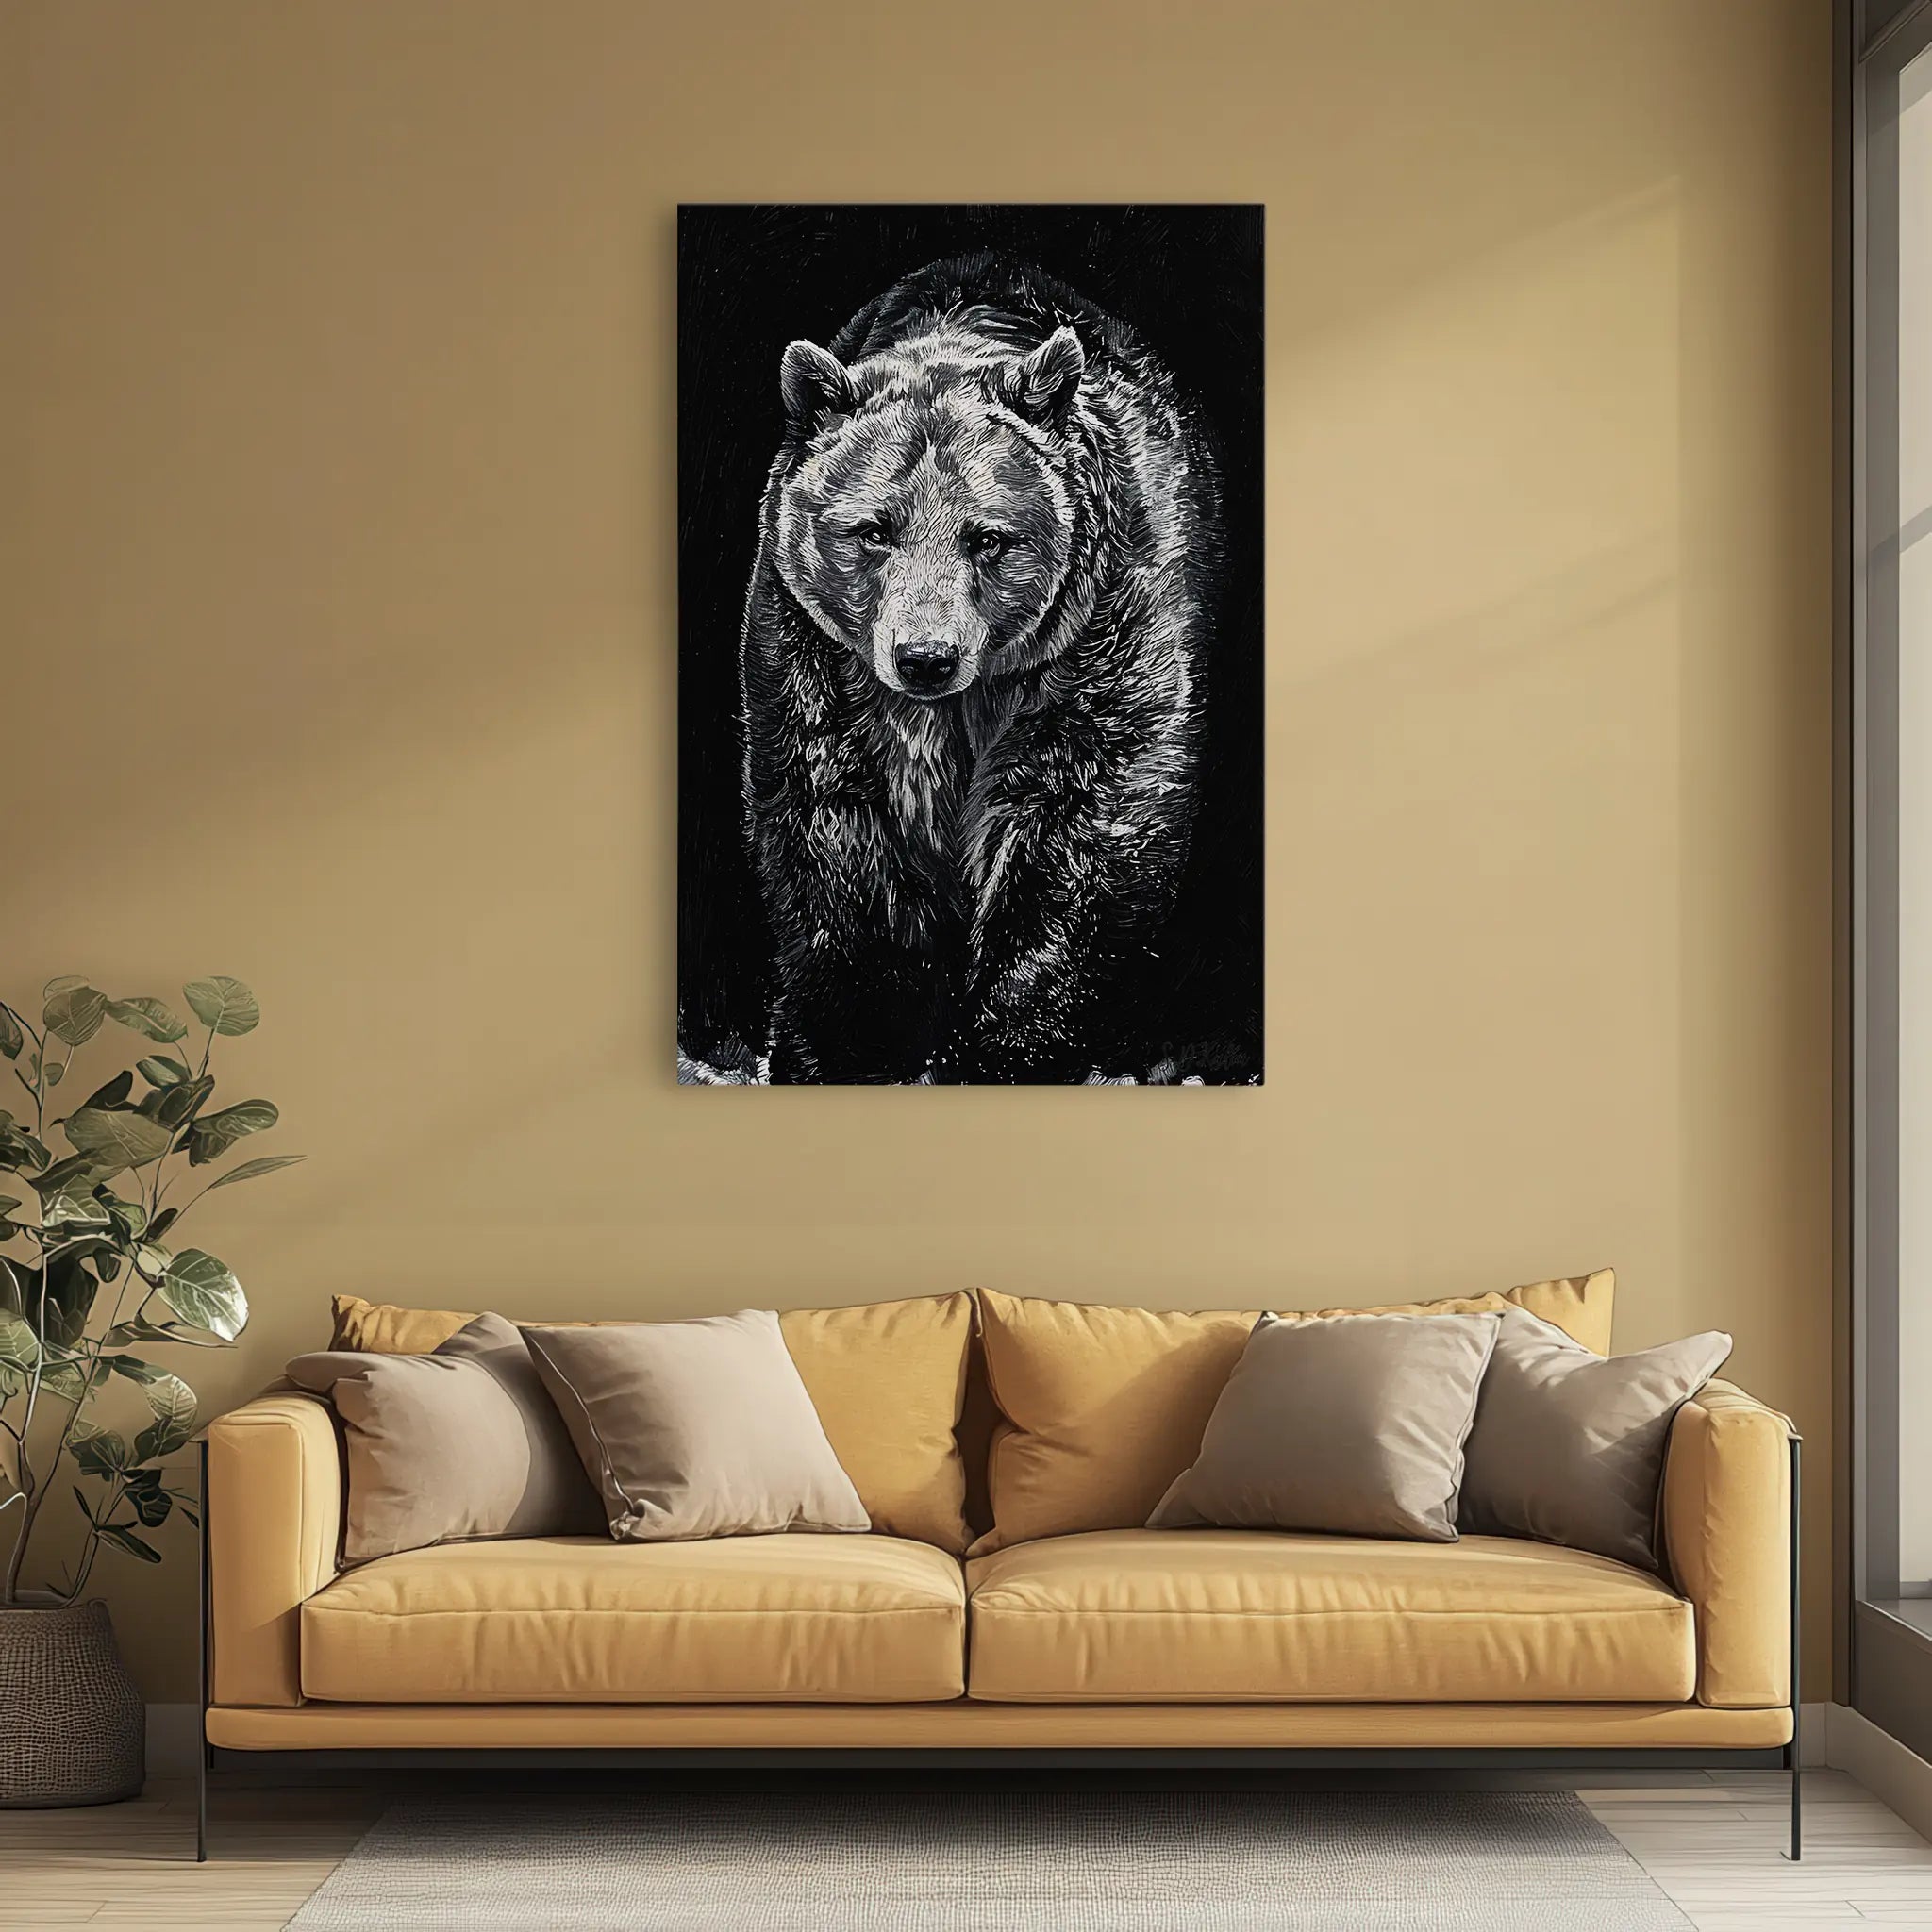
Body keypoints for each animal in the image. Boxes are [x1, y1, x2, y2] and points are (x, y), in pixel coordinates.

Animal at [738, 252, 1224, 1084]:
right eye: (874, 531)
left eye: (988, 537)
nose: (926, 658)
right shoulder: (814, 652)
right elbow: (834, 832)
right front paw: (859, 1041)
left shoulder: (1102, 633)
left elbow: (1081, 827)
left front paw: (999, 1047)